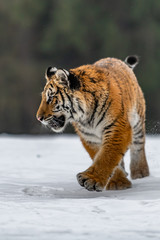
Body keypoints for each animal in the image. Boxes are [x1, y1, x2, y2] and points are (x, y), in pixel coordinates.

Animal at [36, 55, 149, 191]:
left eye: (51, 98)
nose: (38, 118)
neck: (86, 116)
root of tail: (117, 60)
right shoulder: (89, 137)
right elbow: (100, 155)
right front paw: (117, 180)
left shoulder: (117, 127)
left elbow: (107, 155)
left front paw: (91, 180)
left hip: (137, 122)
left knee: (138, 147)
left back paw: (141, 174)